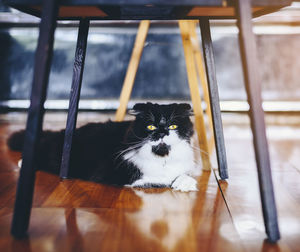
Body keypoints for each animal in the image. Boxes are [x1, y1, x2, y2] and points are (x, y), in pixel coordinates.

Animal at [7, 102, 197, 191]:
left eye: (173, 126)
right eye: (151, 127)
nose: (162, 133)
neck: (162, 158)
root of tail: (63, 132)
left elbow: (182, 174)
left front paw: (186, 183)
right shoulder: (119, 173)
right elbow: (158, 179)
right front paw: (179, 183)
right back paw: (24, 163)